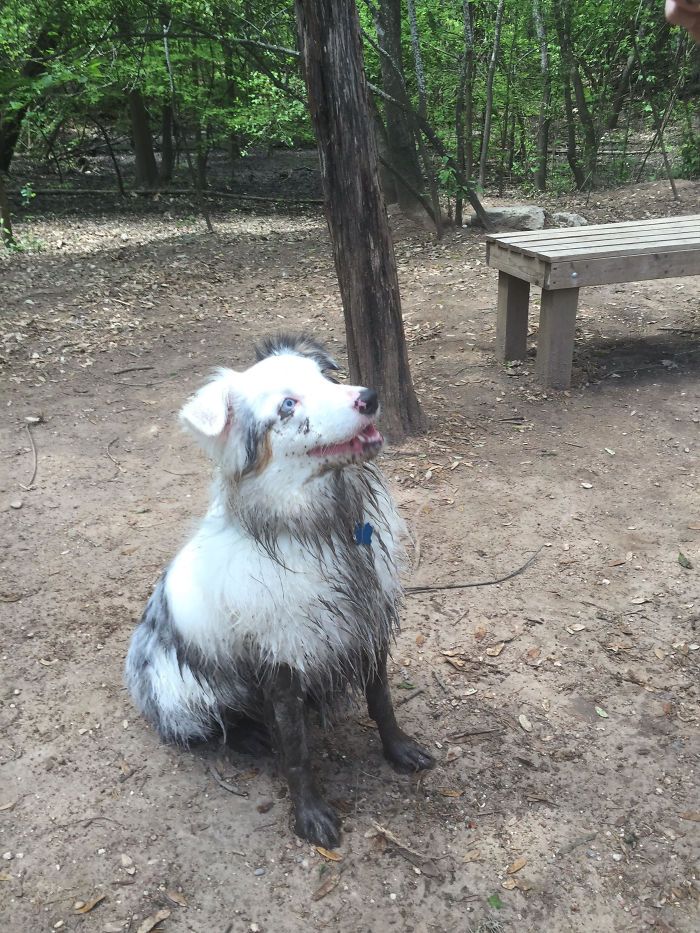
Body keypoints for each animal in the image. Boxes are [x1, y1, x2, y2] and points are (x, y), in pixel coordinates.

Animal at [125, 334, 432, 844]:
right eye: (288, 405)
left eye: (326, 377)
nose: (369, 398)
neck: (322, 531)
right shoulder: (282, 657)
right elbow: (295, 749)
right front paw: (309, 813)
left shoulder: (368, 626)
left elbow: (382, 703)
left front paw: (399, 749)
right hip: (181, 688)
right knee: (204, 728)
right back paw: (247, 735)